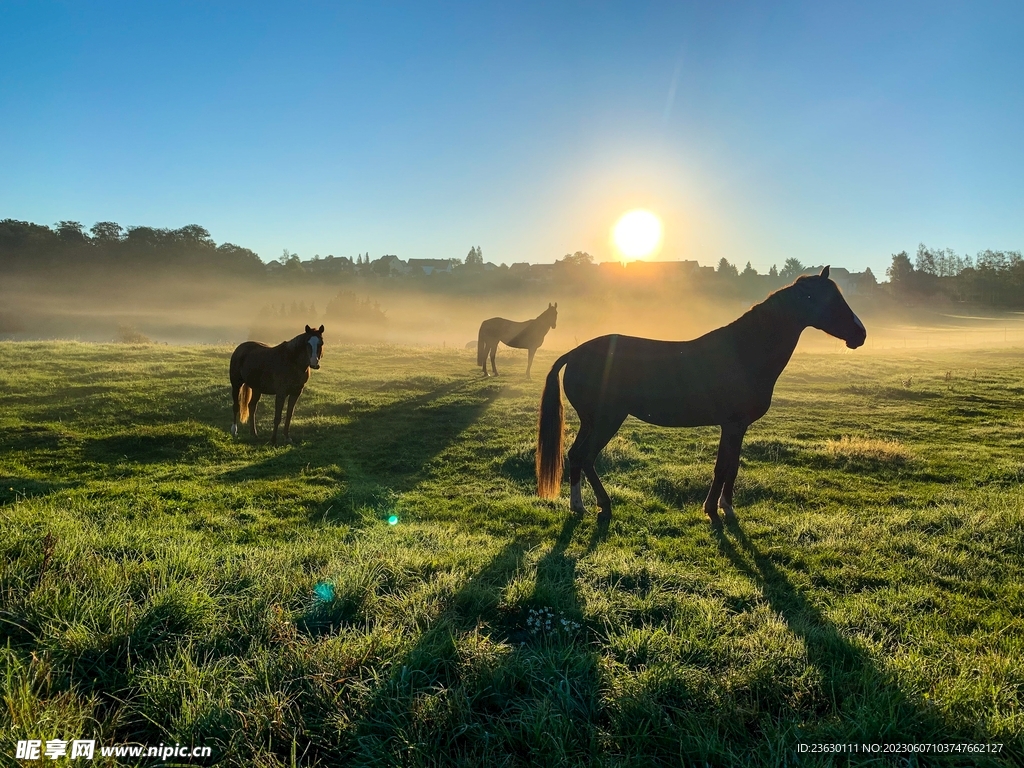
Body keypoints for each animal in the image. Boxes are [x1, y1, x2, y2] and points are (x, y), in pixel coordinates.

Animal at [536, 267, 866, 526]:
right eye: (830, 300)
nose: (860, 334)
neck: (743, 352)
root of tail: (575, 353)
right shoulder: (732, 425)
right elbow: (723, 467)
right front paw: (715, 510)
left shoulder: (736, 427)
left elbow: (732, 465)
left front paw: (724, 506)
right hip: (606, 420)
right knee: (585, 456)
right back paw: (598, 505)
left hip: (592, 421)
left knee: (576, 456)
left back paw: (582, 505)